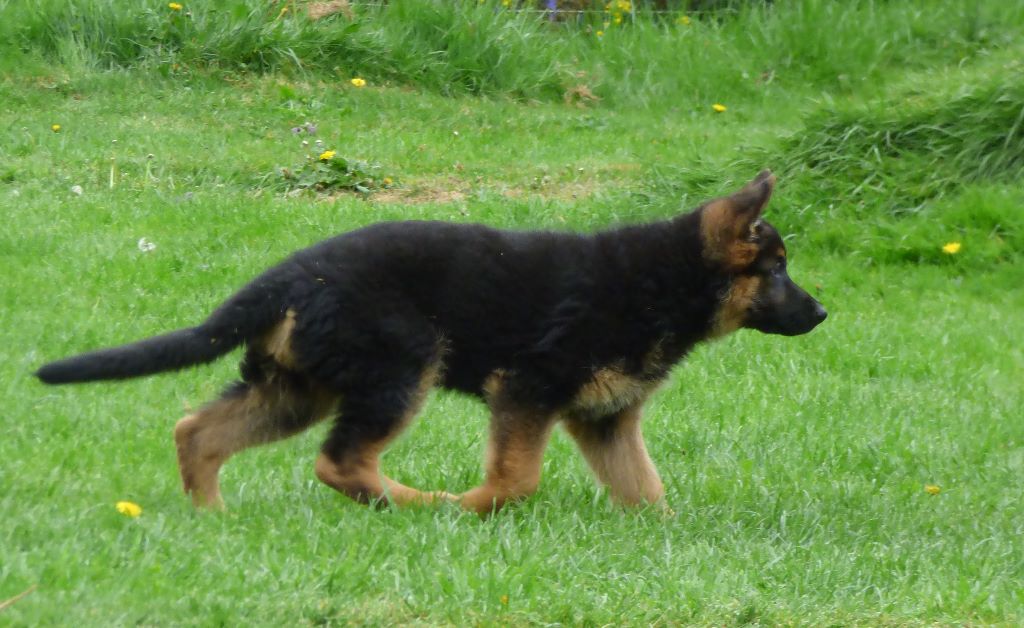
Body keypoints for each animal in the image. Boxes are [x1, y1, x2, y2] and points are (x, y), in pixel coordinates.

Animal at [36, 169, 827, 512]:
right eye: (777, 268)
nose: (822, 314)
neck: (664, 279)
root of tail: (289, 274)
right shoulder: (528, 388)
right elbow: (516, 480)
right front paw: (477, 508)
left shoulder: (606, 419)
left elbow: (646, 490)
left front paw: (654, 538)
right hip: (400, 368)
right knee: (340, 462)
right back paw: (421, 503)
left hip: (298, 387)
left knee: (198, 431)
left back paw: (213, 519)